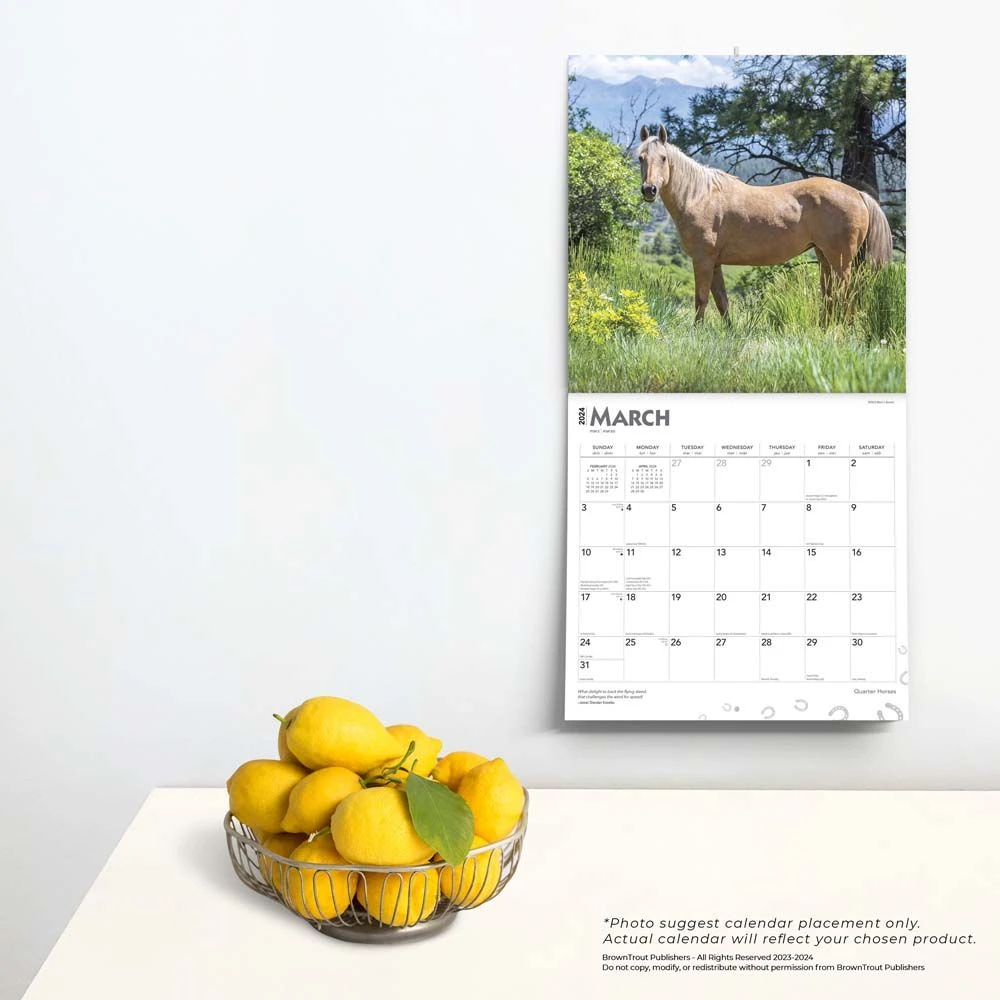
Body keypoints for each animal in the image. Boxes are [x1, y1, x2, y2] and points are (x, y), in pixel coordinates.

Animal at [637, 124, 893, 322]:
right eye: (641, 158)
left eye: (663, 158)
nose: (649, 190)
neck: (700, 196)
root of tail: (858, 194)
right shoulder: (715, 262)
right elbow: (722, 302)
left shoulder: (703, 259)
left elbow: (701, 300)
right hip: (825, 258)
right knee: (830, 297)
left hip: (841, 261)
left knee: (845, 297)